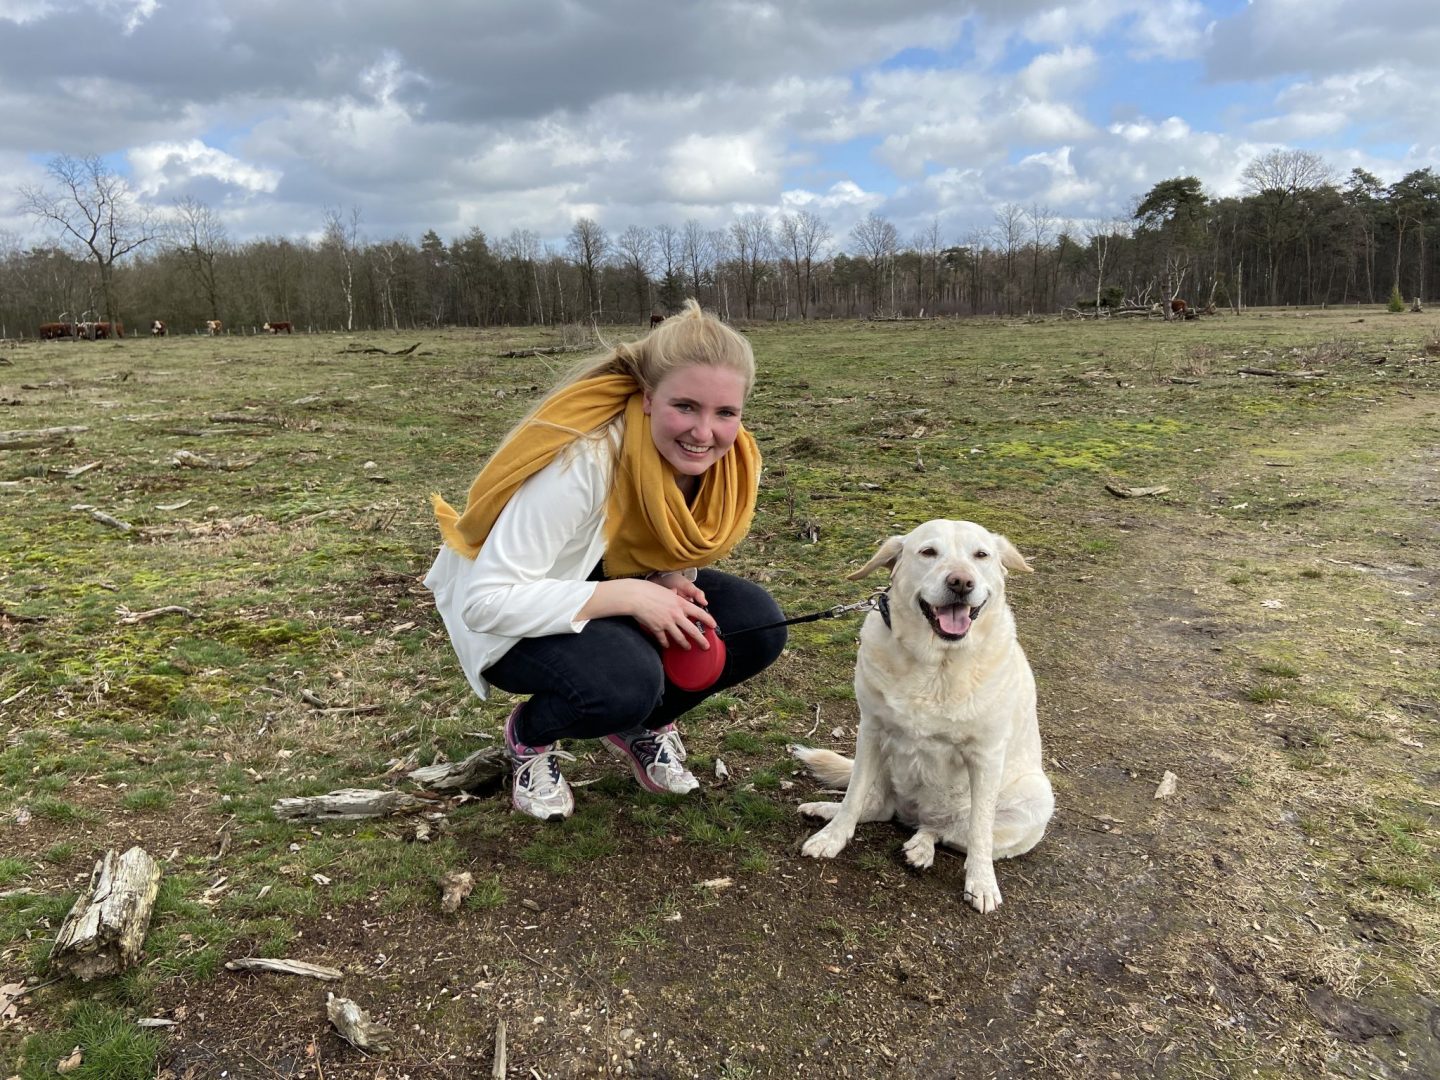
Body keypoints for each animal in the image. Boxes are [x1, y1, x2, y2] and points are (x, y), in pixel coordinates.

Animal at [794, 521, 1054, 915]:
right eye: (928, 552)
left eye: (981, 555)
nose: (961, 582)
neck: (938, 663)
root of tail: (914, 814)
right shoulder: (871, 731)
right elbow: (853, 797)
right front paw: (832, 837)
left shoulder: (986, 756)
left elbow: (979, 831)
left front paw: (981, 882)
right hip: (882, 767)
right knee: (877, 807)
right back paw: (825, 810)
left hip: (1036, 797)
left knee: (949, 831)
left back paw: (921, 847)